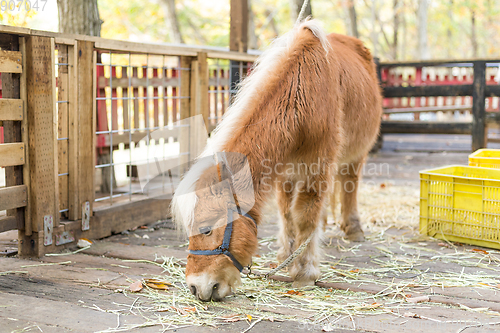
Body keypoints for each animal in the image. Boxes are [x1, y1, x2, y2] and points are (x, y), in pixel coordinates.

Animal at [172, 20, 382, 300]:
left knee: (350, 185)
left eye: (206, 229)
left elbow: (304, 214)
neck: (301, 95)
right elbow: (286, 213)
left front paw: (305, 271)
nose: (196, 287)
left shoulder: (317, 167)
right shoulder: (286, 170)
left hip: (356, 155)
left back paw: (354, 229)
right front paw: (286, 254)